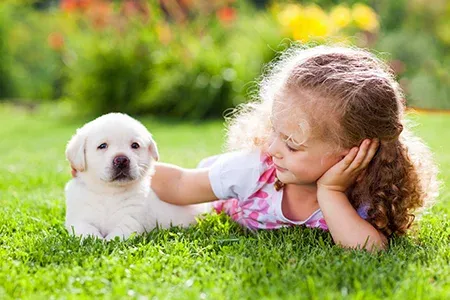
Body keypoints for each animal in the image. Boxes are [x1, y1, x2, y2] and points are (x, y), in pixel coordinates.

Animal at [64, 113, 210, 241]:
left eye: (135, 145)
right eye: (102, 146)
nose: (121, 160)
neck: (109, 192)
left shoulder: (133, 219)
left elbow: (119, 234)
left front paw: (108, 242)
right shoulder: (78, 218)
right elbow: (85, 230)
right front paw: (96, 240)